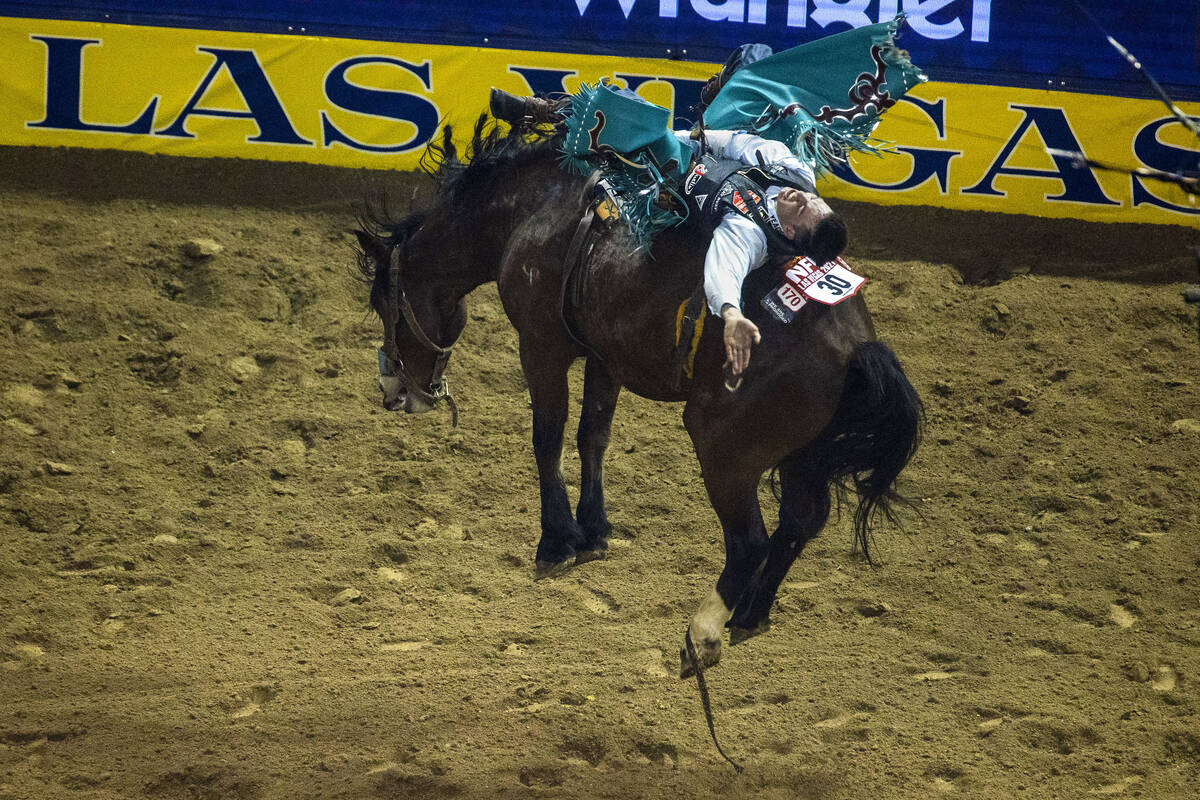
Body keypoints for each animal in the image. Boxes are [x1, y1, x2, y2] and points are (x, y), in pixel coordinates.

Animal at [350, 113, 921, 676]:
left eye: (382, 302)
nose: (392, 390)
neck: (537, 209)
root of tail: (857, 346)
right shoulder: (605, 356)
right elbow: (593, 436)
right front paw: (594, 530)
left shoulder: (541, 344)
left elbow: (548, 438)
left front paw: (556, 541)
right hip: (806, 453)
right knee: (799, 524)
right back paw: (750, 614)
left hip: (724, 449)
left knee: (749, 543)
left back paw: (703, 635)